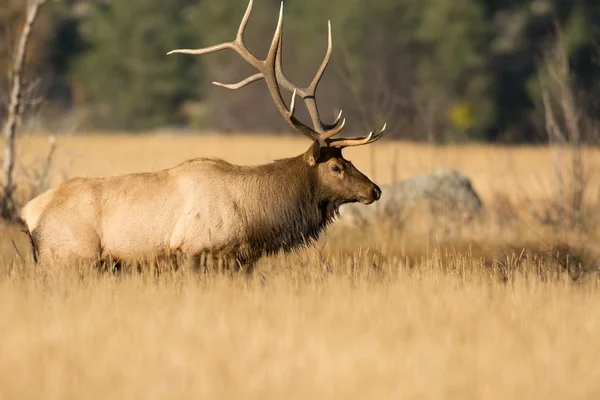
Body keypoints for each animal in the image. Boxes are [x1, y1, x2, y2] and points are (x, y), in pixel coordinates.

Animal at [21, 0, 386, 272]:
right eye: (336, 167)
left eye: (349, 159)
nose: (375, 189)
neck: (253, 215)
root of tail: (29, 212)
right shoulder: (196, 251)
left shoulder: (241, 260)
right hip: (70, 260)